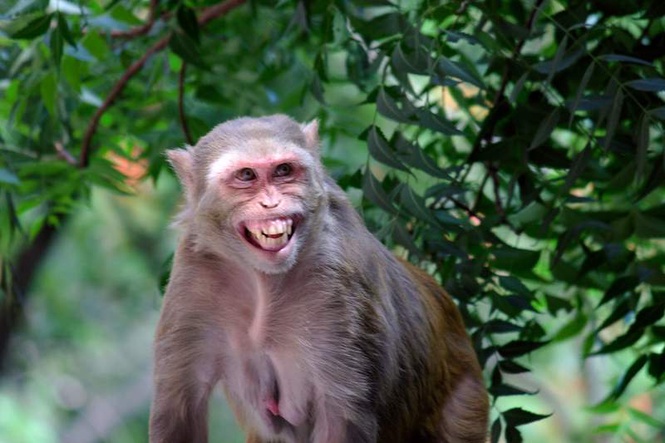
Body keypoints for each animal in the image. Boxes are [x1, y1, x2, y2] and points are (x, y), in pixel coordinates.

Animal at [149, 115, 489, 443]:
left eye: (284, 170)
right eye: (246, 175)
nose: (271, 203)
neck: (263, 281)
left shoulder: (340, 287)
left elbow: (342, 417)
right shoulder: (193, 275)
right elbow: (179, 407)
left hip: (465, 399)